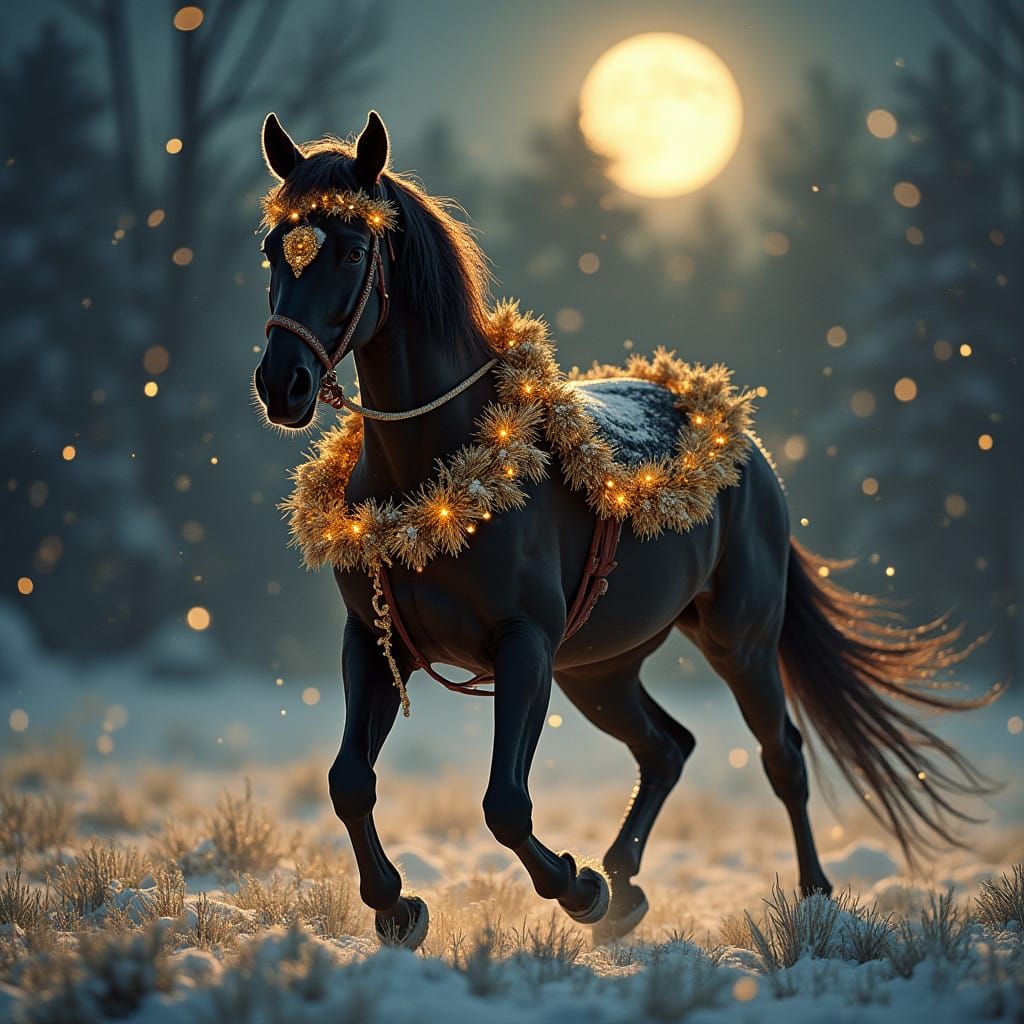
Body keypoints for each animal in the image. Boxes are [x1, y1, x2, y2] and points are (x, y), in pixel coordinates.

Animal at [252, 110, 998, 950]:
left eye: (352, 249)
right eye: (274, 246)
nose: (282, 385)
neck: (439, 474)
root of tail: (746, 448)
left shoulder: (524, 644)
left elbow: (505, 804)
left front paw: (577, 890)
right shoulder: (377, 642)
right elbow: (349, 781)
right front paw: (398, 906)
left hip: (739, 642)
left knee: (782, 755)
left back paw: (809, 898)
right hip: (599, 670)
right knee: (667, 748)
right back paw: (628, 883)